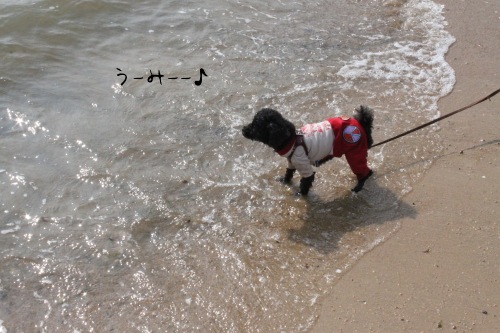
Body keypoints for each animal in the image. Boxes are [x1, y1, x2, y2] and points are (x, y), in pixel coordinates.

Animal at [242, 106, 376, 195]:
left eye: (255, 125)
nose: (243, 129)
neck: (291, 139)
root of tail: (360, 123)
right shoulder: (292, 161)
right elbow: (288, 173)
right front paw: (284, 181)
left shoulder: (303, 165)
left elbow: (305, 182)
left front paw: (300, 195)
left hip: (355, 153)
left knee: (364, 172)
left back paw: (357, 188)